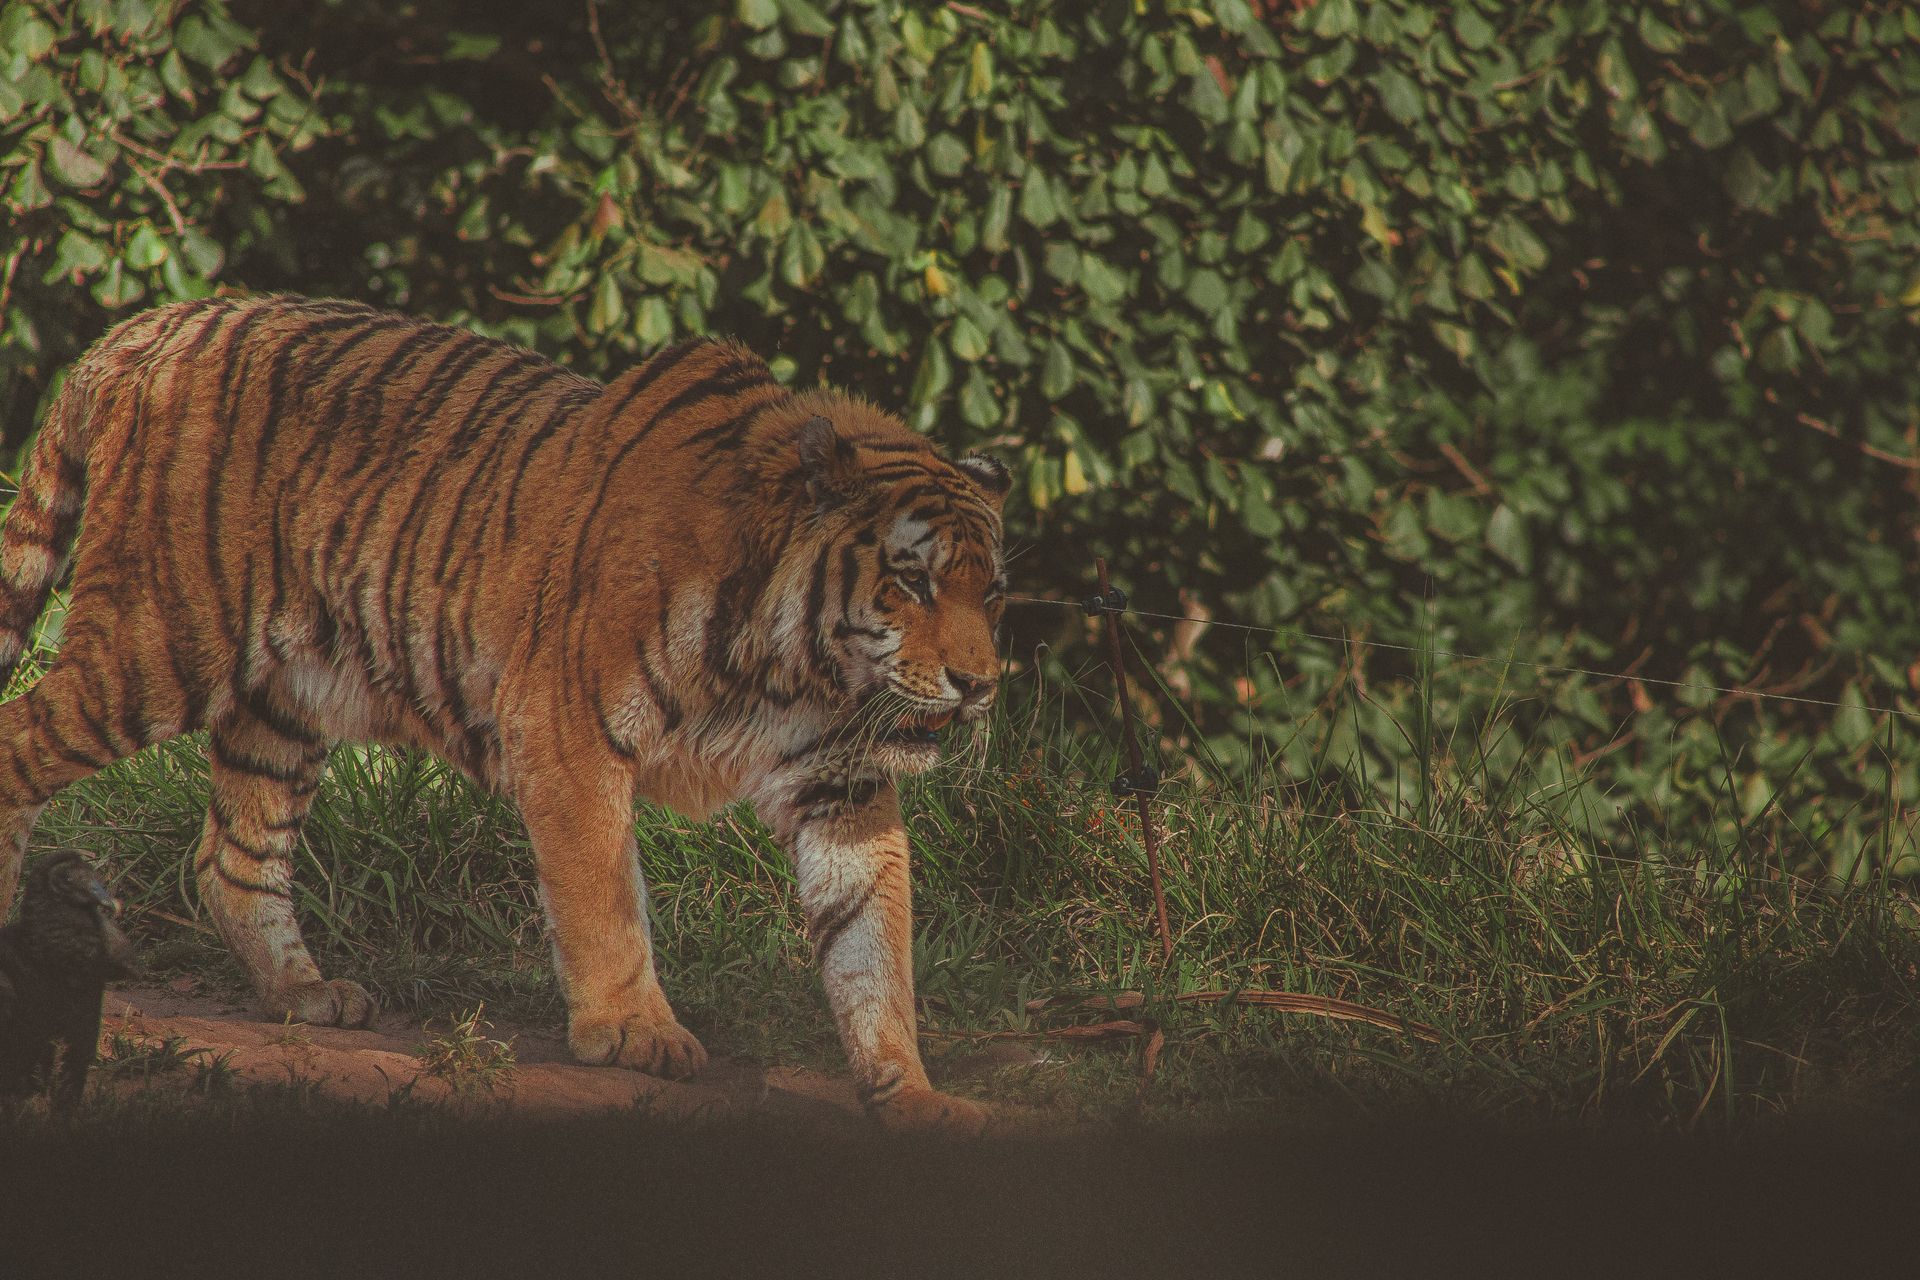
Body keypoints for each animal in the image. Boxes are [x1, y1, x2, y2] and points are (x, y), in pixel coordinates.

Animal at [0, 294, 1010, 1131]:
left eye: (991, 591)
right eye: (913, 579)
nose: (980, 684)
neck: (796, 668)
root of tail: (152, 324)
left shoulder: (842, 785)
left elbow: (874, 948)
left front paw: (912, 1097)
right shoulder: (568, 731)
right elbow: (604, 899)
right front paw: (635, 1033)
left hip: (282, 702)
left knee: (232, 854)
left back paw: (305, 995)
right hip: (158, 644)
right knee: (21, 743)